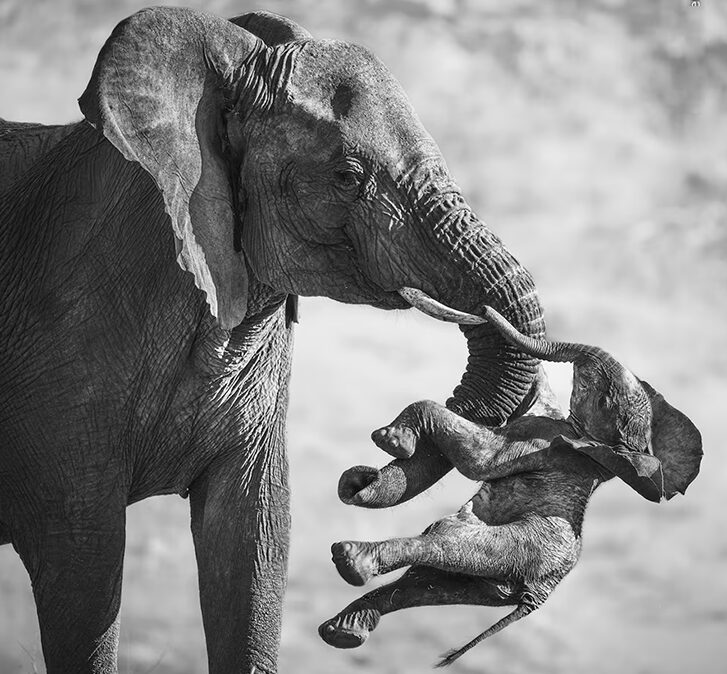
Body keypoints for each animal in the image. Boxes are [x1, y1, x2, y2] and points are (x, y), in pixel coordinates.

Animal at [320, 306, 702, 666]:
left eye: (604, 400)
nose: (483, 310)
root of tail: (539, 595)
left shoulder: (542, 441)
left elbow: (479, 459)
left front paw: (391, 441)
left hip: (520, 547)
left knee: (444, 543)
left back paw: (351, 561)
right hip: (495, 581)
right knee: (426, 584)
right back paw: (343, 630)